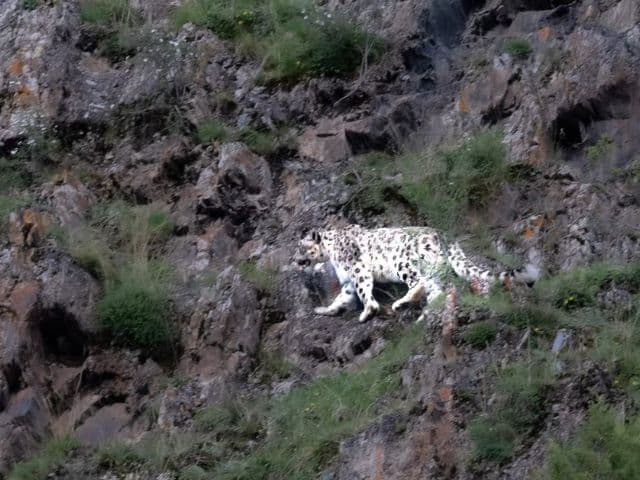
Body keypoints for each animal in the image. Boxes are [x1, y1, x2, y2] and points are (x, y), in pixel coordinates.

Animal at [294, 225, 540, 323]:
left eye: (302, 247)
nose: (295, 260)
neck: (330, 254)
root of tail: (442, 235)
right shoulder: (347, 281)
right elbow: (341, 298)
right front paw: (325, 310)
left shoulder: (358, 269)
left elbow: (364, 291)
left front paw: (367, 312)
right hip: (434, 268)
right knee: (437, 291)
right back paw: (423, 316)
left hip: (404, 262)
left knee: (419, 283)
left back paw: (402, 303)